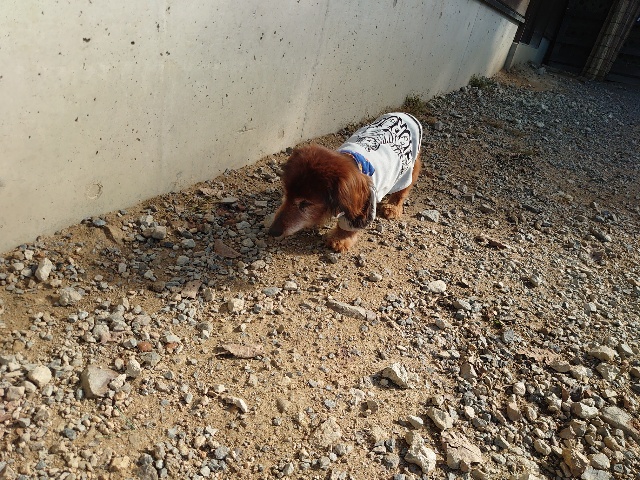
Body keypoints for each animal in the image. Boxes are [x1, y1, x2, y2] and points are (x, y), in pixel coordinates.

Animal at [268, 112, 422, 252]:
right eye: (286, 194)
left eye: (305, 203)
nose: (272, 231)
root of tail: (408, 116)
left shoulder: (363, 206)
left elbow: (349, 226)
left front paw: (340, 239)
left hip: (407, 170)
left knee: (404, 187)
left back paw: (392, 207)